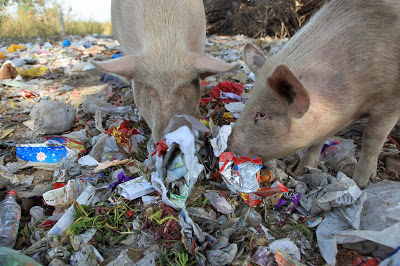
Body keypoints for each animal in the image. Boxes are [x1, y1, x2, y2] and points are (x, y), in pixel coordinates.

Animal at [228, 0, 400, 189]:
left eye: (262, 114)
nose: (227, 145)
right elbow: (318, 141)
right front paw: (299, 172)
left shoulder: (390, 102)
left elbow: (372, 139)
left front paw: (360, 183)